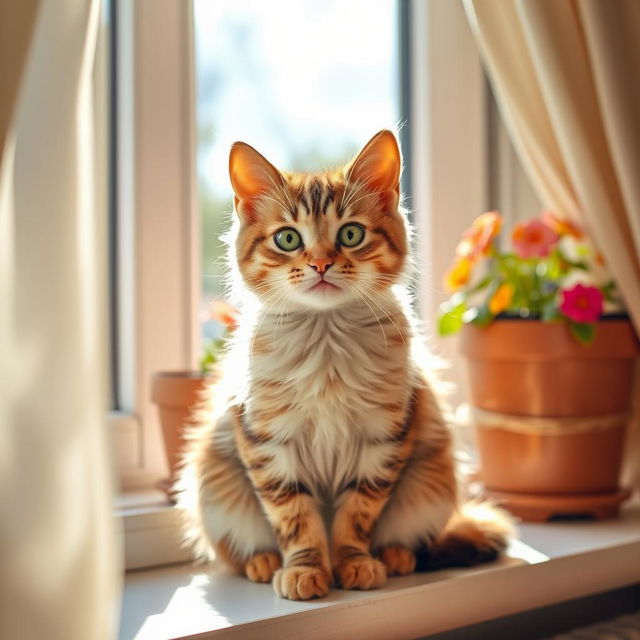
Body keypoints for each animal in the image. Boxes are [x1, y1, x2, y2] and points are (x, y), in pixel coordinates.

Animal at [176, 129, 516, 600]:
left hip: (430, 482)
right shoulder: (267, 440)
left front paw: (352, 563)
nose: (321, 263)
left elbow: (358, 513)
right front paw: (305, 569)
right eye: (288, 239)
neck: (326, 341)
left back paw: (394, 556)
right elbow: (294, 517)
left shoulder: (383, 437)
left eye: (351, 234)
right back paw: (263, 562)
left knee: (412, 537)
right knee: (234, 551)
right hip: (215, 484)